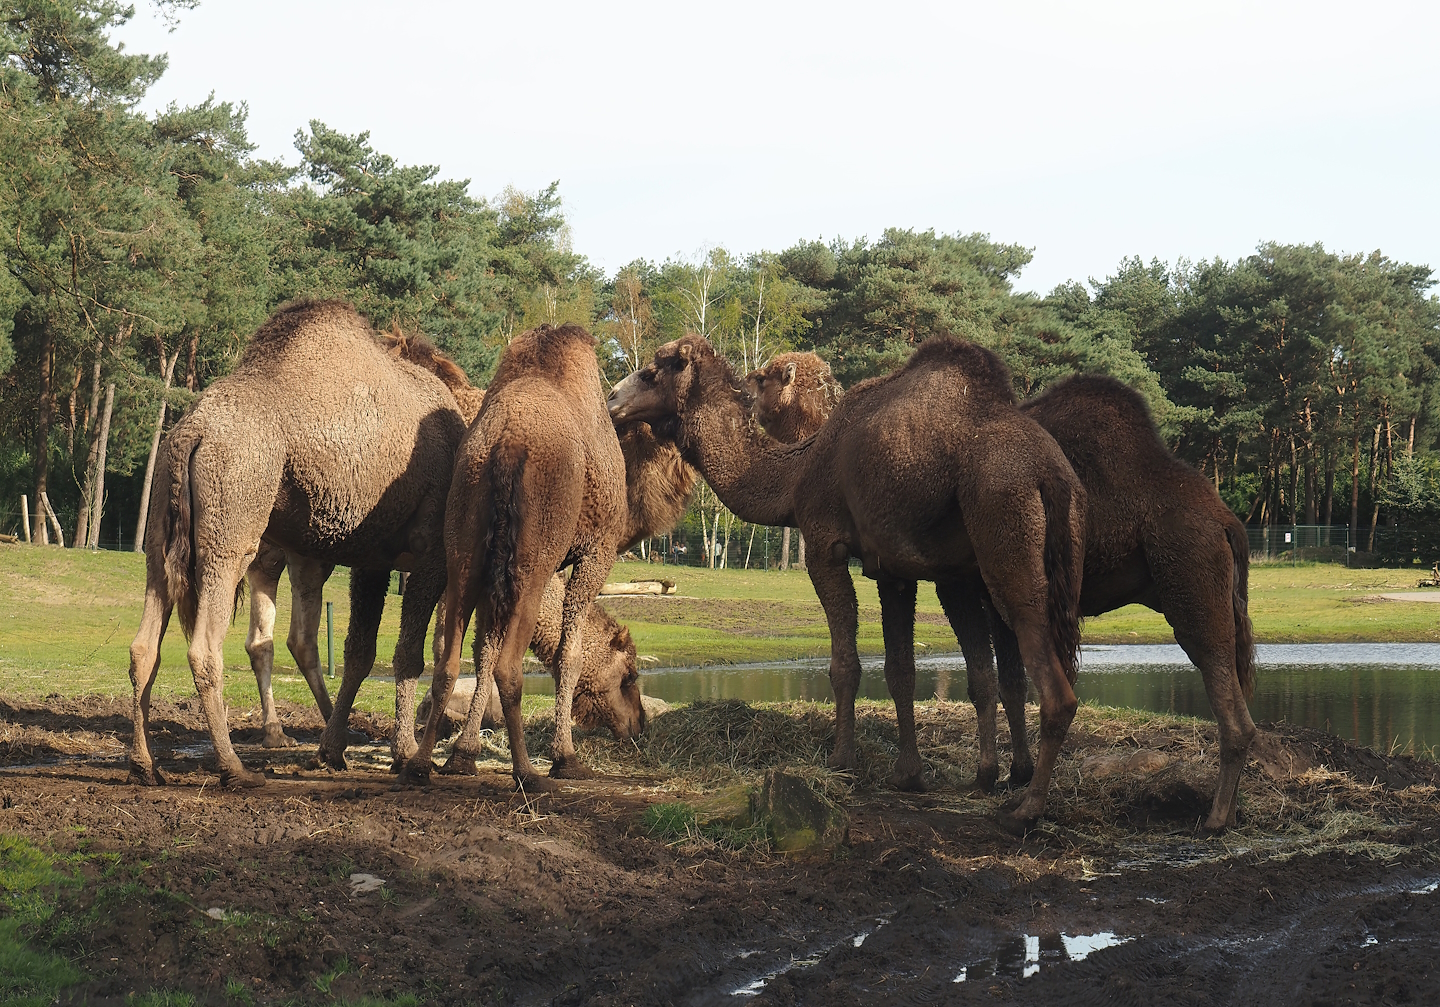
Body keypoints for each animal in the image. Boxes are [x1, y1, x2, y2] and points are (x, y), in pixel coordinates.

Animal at [127, 300, 467, 788]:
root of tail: (192, 432)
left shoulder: (373, 558)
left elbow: (359, 652)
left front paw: (334, 748)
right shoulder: (429, 551)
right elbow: (407, 654)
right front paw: (403, 754)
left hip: (161, 532)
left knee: (144, 645)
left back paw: (144, 765)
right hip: (232, 525)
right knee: (205, 647)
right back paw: (235, 768)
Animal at [405, 323, 627, 790]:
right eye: (627, 678)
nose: (637, 726)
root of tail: (507, 445)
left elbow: (482, 650)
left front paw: (463, 754)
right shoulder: (596, 552)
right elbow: (569, 657)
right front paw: (566, 758)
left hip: (466, 545)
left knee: (448, 661)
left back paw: (419, 764)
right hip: (532, 562)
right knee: (510, 666)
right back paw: (527, 772)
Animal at [610, 334, 1086, 832]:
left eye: (652, 372)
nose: (611, 399)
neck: (798, 470)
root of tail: (1050, 473)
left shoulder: (824, 544)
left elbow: (845, 664)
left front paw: (841, 760)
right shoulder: (893, 569)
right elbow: (900, 671)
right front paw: (908, 774)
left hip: (1003, 532)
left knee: (1051, 679)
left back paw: (1027, 808)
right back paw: (1006, 782)